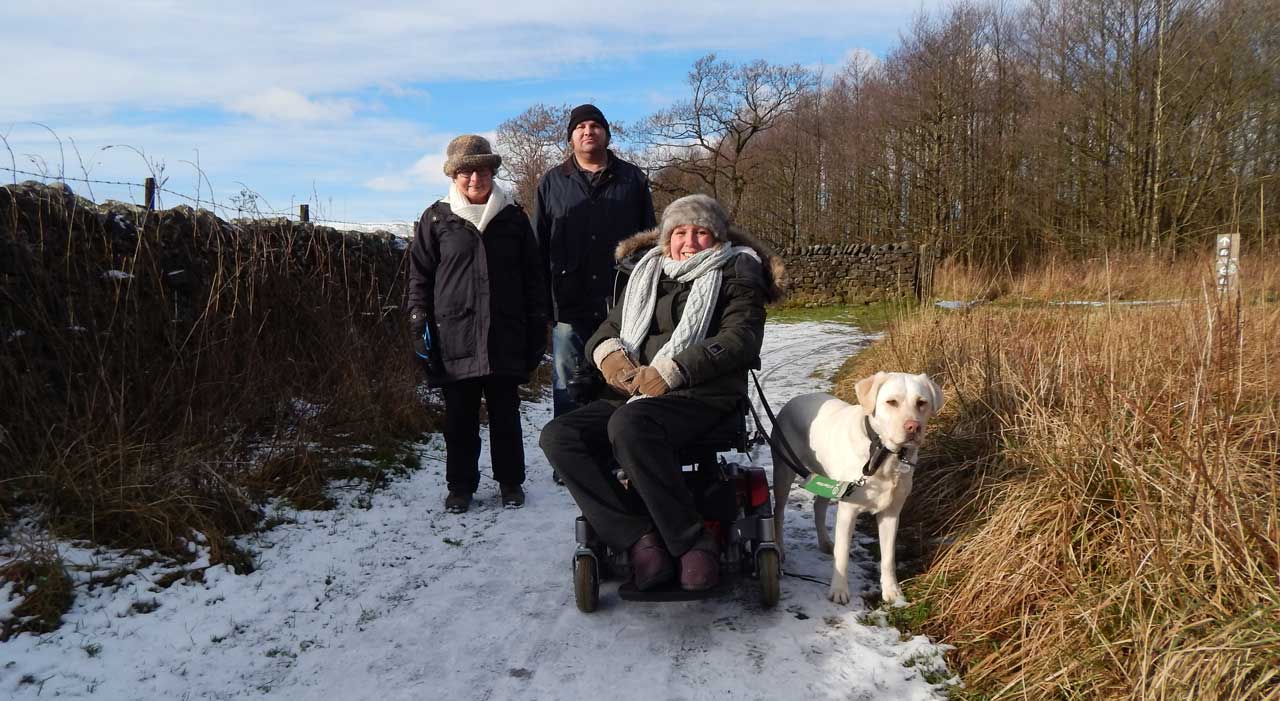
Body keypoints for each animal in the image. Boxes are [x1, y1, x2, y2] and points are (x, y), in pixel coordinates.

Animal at [768, 368, 942, 606]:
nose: (913, 427)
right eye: (892, 402)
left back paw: (825, 543)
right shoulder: (848, 510)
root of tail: (795, 399)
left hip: (829, 479)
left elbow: (888, 557)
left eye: (921, 402)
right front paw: (839, 592)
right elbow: (842, 556)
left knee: (818, 506)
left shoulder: (891, 513)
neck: (880, 455)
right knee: (779, 512)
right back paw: (780, 548)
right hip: (784, 472)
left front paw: (892, 591)